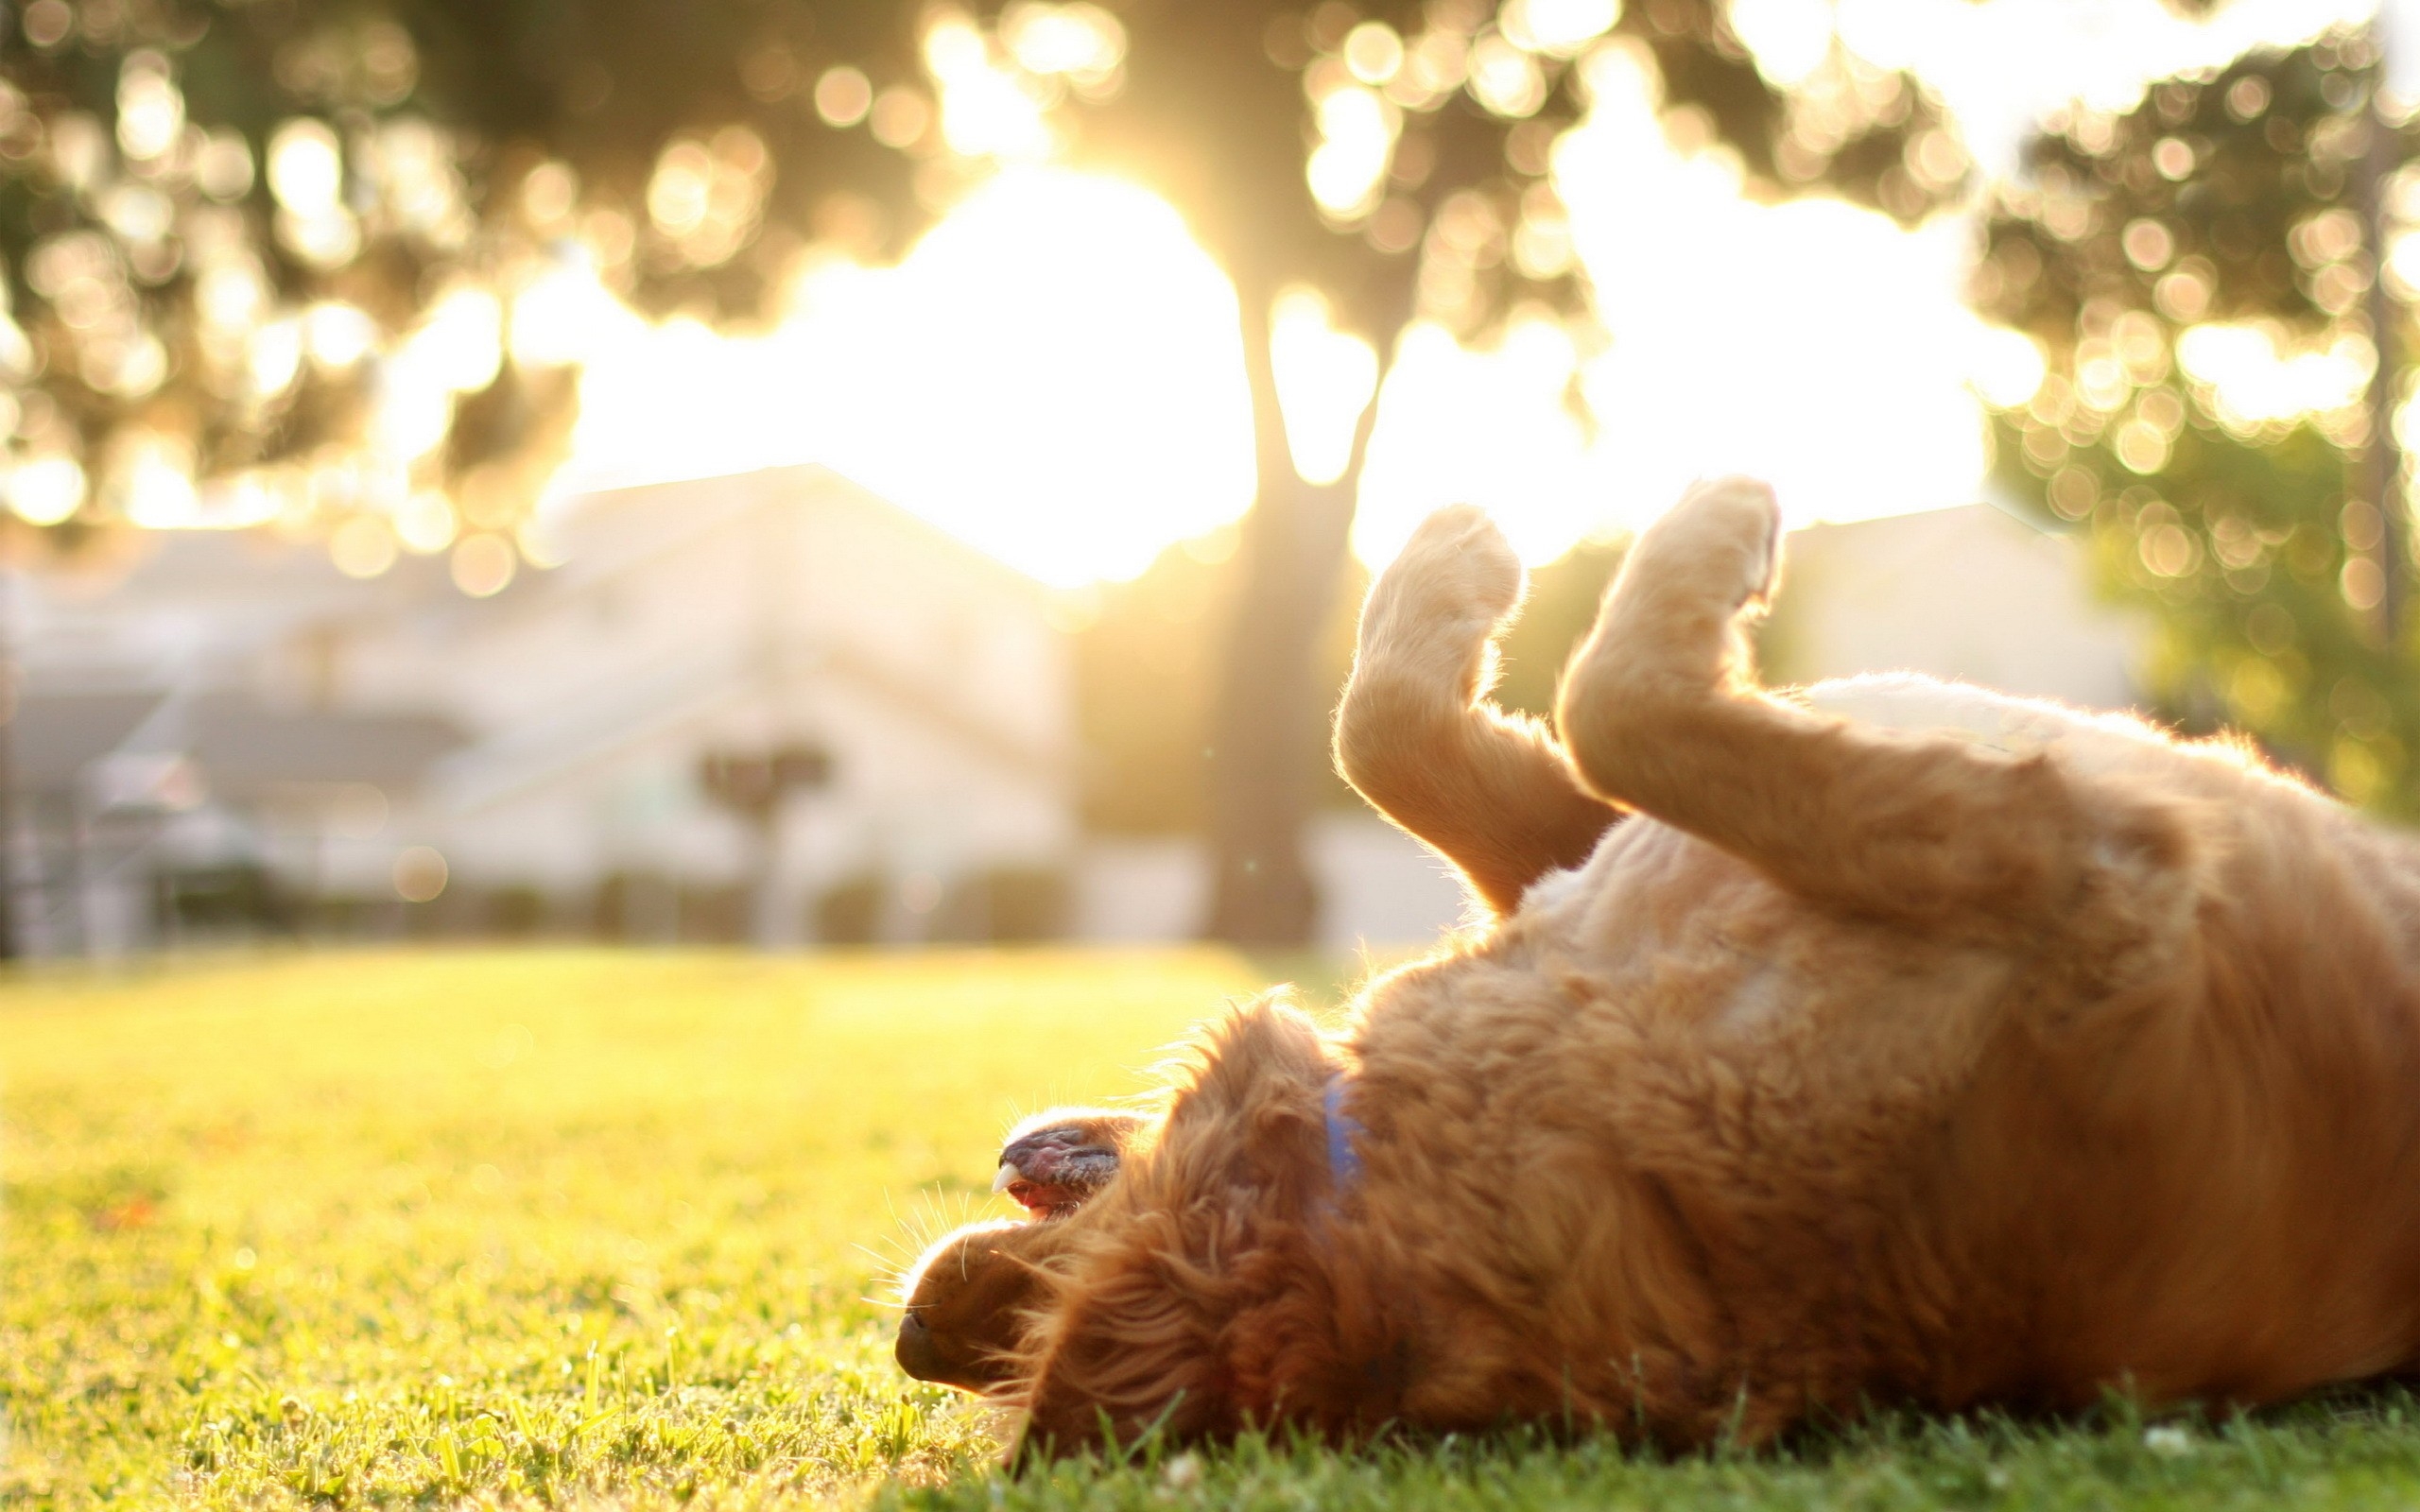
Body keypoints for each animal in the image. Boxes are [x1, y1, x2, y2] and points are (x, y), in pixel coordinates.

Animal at [916, 478, 2420, 1458]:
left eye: (1015, 1324)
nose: (914, 1340)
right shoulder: (2085, 872)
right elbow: (1617, 702)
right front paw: (1698, 527)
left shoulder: (1588, 855)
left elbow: (1390, 732)